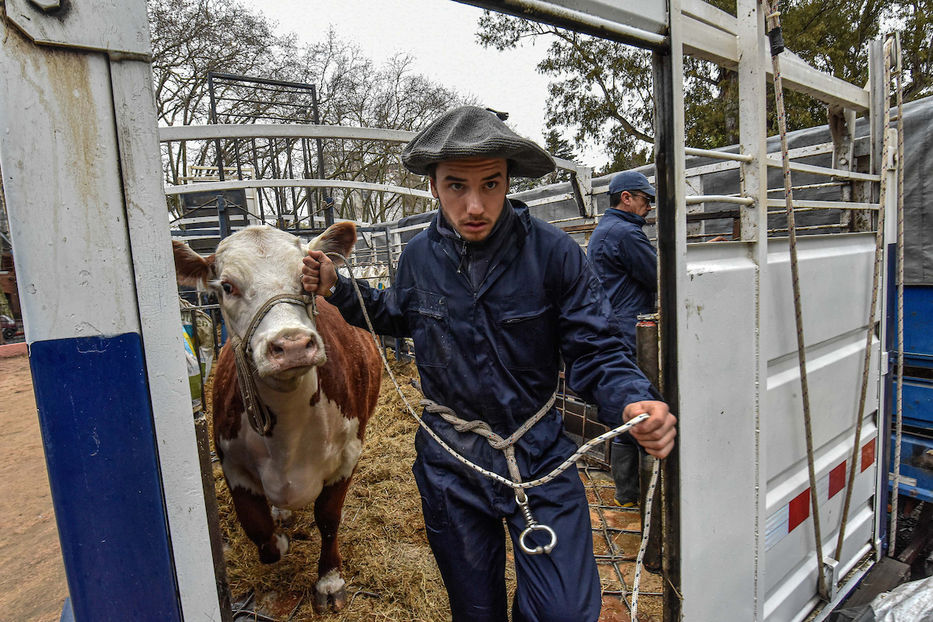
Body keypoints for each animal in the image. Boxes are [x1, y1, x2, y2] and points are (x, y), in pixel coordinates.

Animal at [173, 224, 380, 616]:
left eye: (307, 276)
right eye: (227, 286)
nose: (293, 344)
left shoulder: (349, 454)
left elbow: (328, 517)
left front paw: (329, 581)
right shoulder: (232, 464)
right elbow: (257, 528)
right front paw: (279, 540)